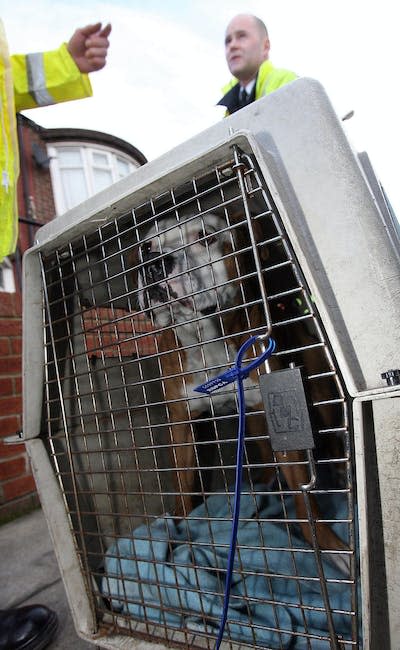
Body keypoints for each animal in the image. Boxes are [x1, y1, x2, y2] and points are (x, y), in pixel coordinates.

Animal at [133, 210, 348, 568]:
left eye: (207, 236)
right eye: (146, 246)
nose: (152, 263)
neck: (207, 343)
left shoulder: (282, 424)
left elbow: (304, 499)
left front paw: (329, 547)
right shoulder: (181, 425)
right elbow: (183, 484)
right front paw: (177, 527)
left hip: (320, 401)